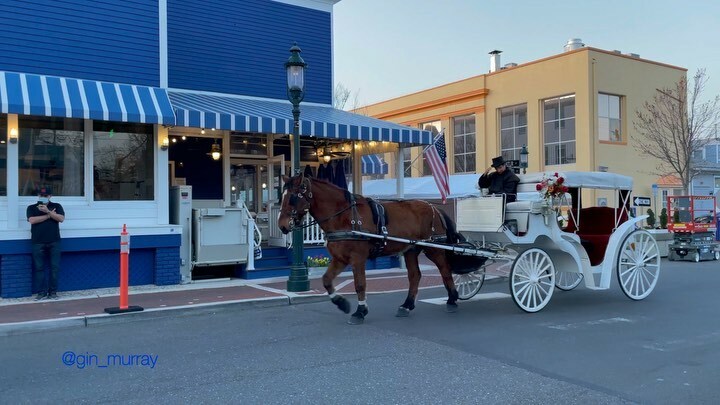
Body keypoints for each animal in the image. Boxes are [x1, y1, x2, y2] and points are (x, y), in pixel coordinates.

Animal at [276, 172, 462, 324]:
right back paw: (406, 305)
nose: (282, 225)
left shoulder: (357, 258)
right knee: (415, 276)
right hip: (410, 250)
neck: (343, 216)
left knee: (445, 269)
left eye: (292, 197)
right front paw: (342, 304)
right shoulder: (340, 258)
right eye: (281, 196)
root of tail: (434, 207)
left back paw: (452, 299)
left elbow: (360, 284)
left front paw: (360, 311)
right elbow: (326, 280)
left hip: (434, 248)